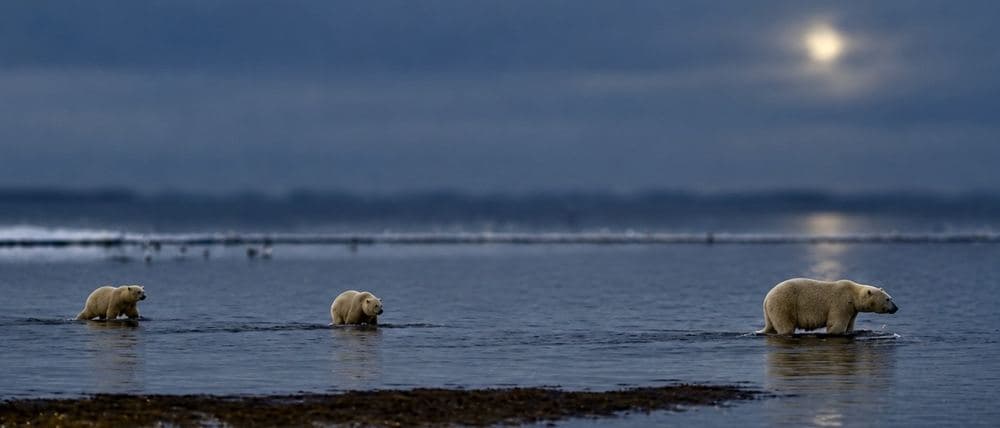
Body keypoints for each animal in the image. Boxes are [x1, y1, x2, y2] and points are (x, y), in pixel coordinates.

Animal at [757, 278, 898, 335]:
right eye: (888, 299)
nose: (896, 308)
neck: (853, 294)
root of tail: (767, 298)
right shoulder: (841, 303)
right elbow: (836, 324)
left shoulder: (852, 310)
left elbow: (850, 325)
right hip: (784, 304)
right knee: (786, 325)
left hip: (771, 311)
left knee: (771, 325)